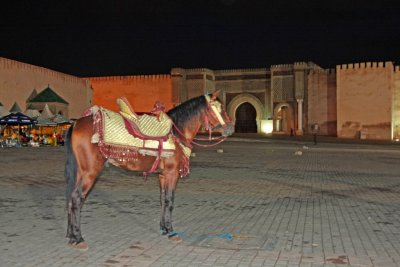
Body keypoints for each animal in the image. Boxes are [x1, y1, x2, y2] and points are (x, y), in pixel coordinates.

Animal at [65, 91, 234, 251]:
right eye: (220, 108)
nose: (231, 128)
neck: (176, 133)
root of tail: (77, 123)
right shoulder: (172, 174)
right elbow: (170, 201)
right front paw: (171, 232)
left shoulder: (163, 175)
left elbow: (163, 199)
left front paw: (164, 228)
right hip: (90, 173)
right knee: (77, 198)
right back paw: (78, 238)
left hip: (81, 172)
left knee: (71, 198)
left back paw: (70, 236)